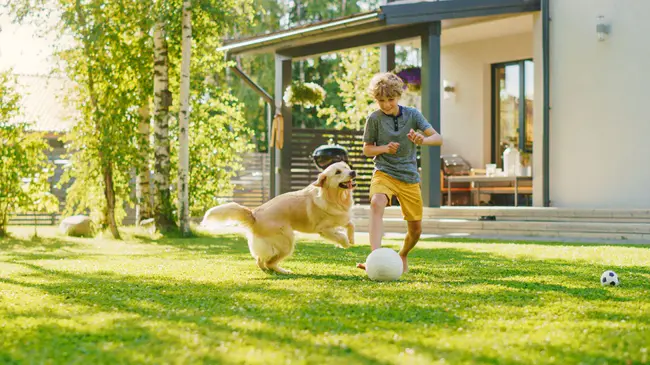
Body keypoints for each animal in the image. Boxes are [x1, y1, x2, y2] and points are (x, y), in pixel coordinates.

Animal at [201, 161, 356, 272]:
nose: (353, 172)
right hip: (287, 241)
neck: (335, 198)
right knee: (269, 262)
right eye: (337, 172)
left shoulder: (341, 218)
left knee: (260, 260)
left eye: (346, 167)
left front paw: (352, 239)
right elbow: (340, 236)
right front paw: (345, 243)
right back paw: (283, 271)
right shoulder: (323, 229)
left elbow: (350, 224)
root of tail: (254, 214)